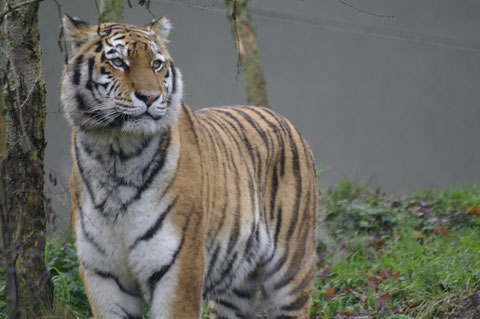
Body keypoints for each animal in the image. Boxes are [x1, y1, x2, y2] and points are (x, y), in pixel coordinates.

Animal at [62, 13, 318, 319]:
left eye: (156, 64)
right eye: (118, 62)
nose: (150, 97)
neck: (115, 155)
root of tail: (282, 118)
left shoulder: (179, 265)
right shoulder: (103, 274)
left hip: (289, 274)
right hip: (235, 288)